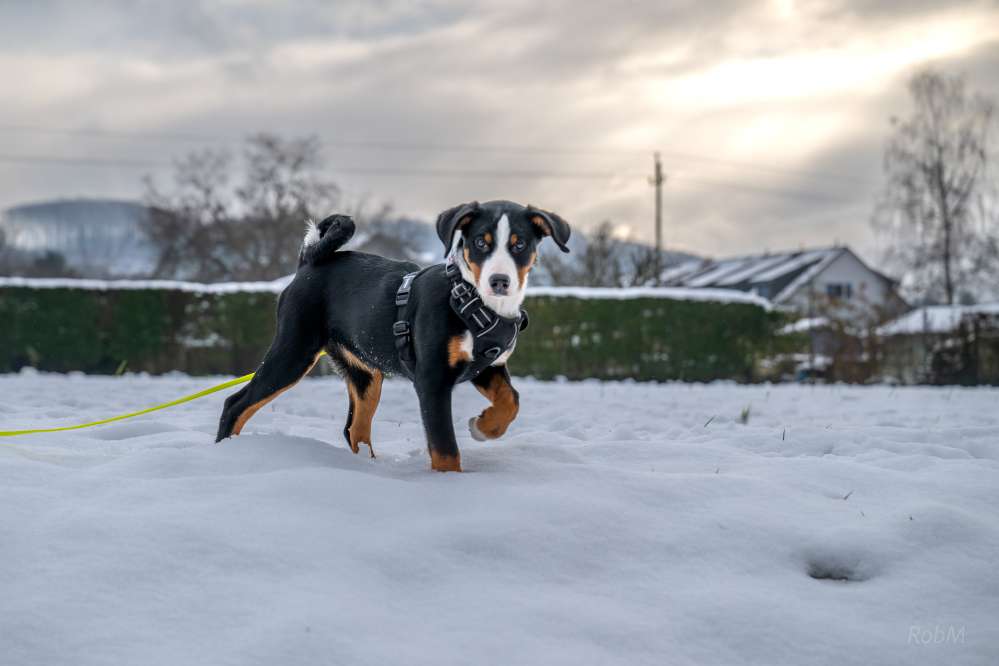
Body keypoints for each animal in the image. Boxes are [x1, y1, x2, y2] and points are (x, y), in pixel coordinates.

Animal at [216, 200, 572, 470]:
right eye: (481, 242)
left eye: (519, 244)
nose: (499, 281)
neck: (470, 300)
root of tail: (310, 262)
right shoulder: (432, 380)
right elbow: (445, 447)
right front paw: (451, 483)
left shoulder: (488, 366)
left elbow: (511, 399)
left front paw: (485, 428)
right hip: (294, 351)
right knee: (236, 404)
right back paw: (227, 454)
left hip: (365, 375)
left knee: (354, 428)